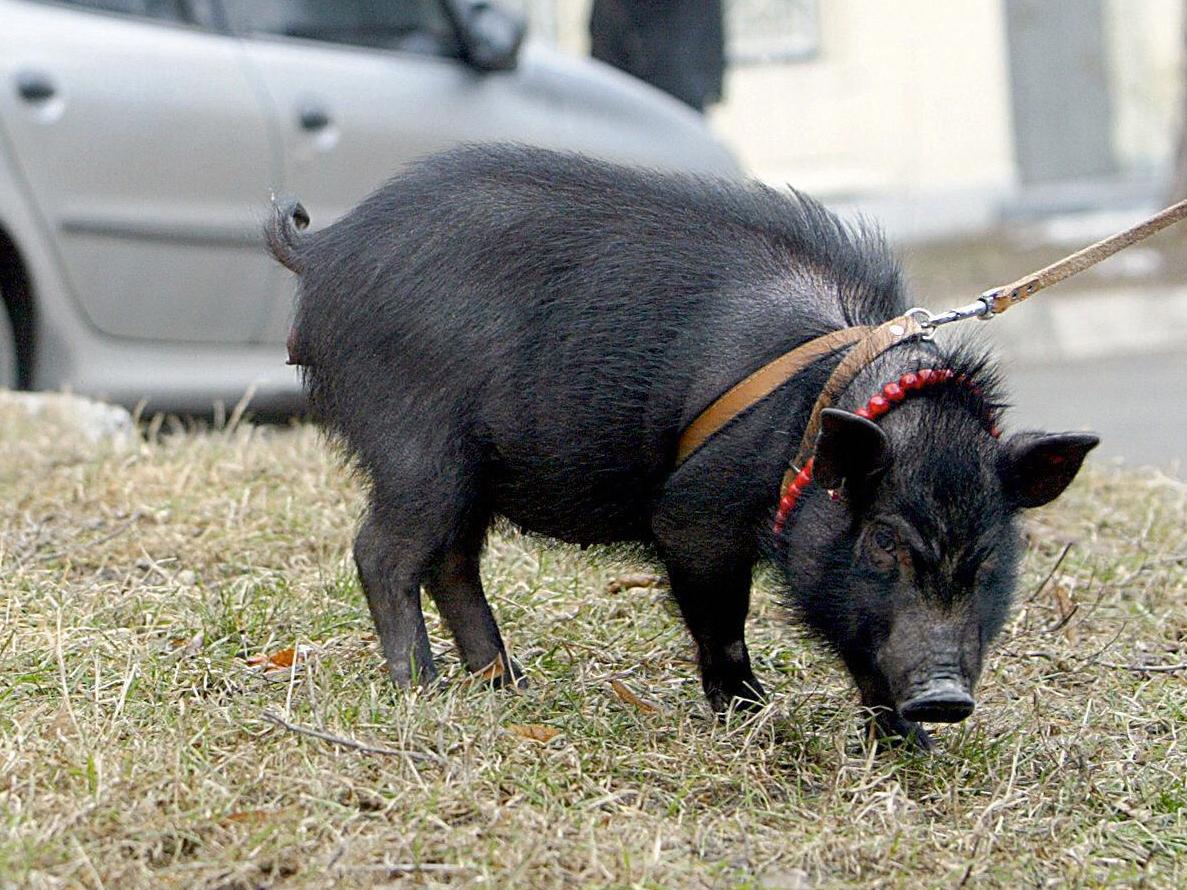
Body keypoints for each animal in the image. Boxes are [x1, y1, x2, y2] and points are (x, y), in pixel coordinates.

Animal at [267, 146, 1092, 754]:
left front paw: (906, 750)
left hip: (464, 472)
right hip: (415, 442)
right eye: (883, 539)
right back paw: (423, 690)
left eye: (991, 555)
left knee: (451, 563)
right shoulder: (696, 515)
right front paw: (755, 718)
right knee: (383, 552)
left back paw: (509, 686)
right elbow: (720, 624)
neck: (810, 416)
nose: (946, 699)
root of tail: (327, 248)